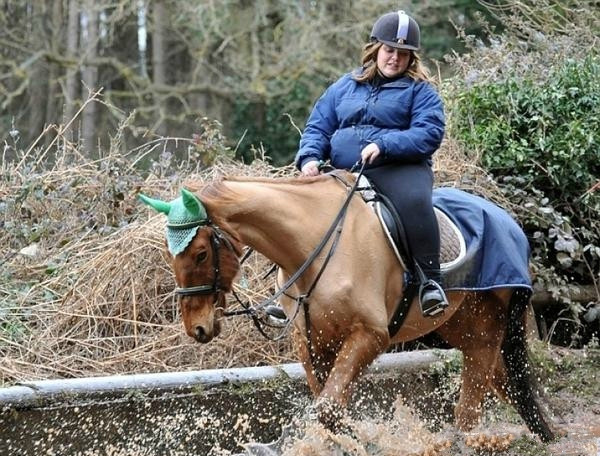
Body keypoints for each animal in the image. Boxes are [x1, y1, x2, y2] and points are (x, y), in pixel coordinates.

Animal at [138, 171, 556, 442]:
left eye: (200, 252)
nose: (197, 328)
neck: (312, 247)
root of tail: (508, 221)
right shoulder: (311, 342)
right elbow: (329, 408)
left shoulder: (369, 336)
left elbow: (327, 408)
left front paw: (371, 438)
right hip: (463, 325)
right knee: (502, 381)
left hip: (489, 323)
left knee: (473, 398)